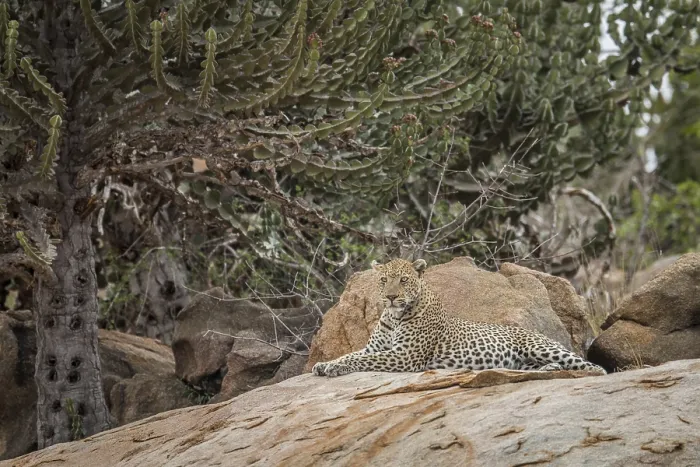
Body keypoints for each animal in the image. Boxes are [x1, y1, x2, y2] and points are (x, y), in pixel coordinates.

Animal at [312, 258, 606, 377]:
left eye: (404, 280)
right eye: (384, 280)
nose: (392, 297)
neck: (395, 316)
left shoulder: (405, 356)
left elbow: (360, 359)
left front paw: (333, 368)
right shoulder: (376, 348)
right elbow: (351, 354)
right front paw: (325, 364)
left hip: (539, 346)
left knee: (593, 367)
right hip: (525, 360)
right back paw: (546, 370)